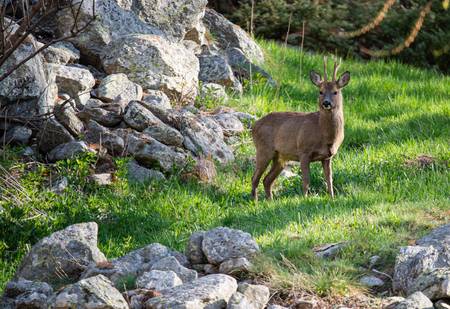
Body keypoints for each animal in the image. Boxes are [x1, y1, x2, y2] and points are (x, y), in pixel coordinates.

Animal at [251, 56, 350, 199]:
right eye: (320, 92)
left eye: (335, 92)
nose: (326, 103)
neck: (324, 134)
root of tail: (254, 126)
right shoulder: (304, 151)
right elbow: (306, 179)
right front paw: (305, 198)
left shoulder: (328, 156)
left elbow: (329, 179)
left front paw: (332, 198)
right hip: (264, 149)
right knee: (255, 178)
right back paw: (255, 201)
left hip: (280, 157)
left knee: (267, 180)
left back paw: (270, 201)